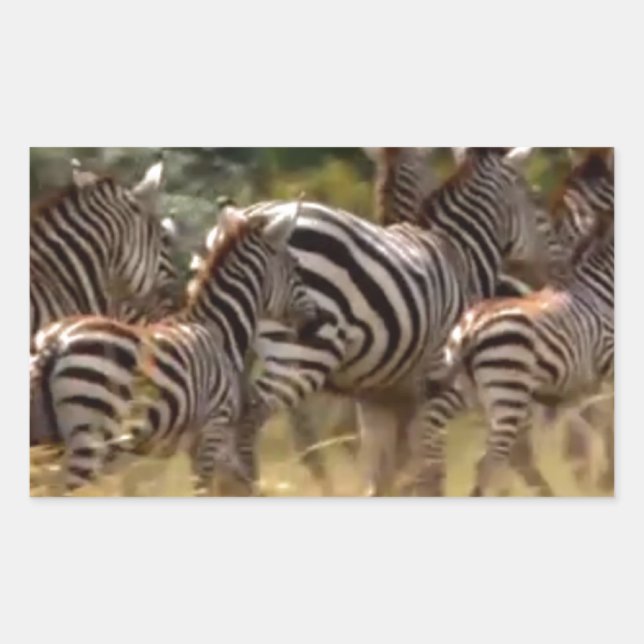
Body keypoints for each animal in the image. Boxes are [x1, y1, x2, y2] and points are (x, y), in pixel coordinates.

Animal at [29, 198, 328, 495]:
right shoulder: (213, 428)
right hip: (89, 436)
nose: (315, 322)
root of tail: (54, 342)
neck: (219, 330)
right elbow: (206, 489)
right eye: (297, 267)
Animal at [234, 148, 555, 496]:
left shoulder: (380, 396)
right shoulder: (440, 385)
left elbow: (384, 471)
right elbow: (428, 464)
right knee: (260, 423)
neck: (458, 253)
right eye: (536, 201)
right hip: (303, 354)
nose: (548, 275)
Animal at [441, 207, 614, 496]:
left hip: (480, 397)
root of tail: (470, 328)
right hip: (508, 392)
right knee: (491, 463)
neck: (600, 290)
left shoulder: (572, 390)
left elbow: (589, 431)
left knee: (497, 461)